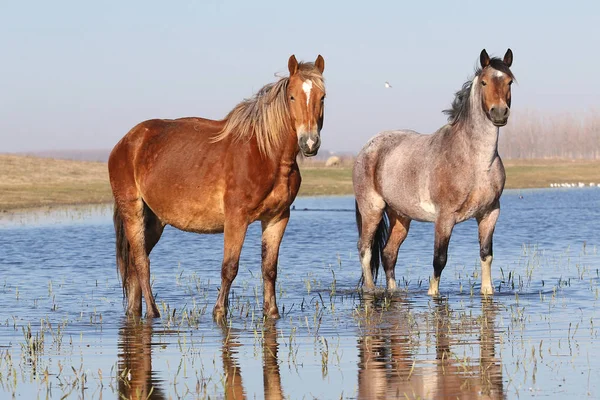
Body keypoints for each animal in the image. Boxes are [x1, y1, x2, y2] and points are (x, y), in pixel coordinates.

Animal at [105, 55, 326, 318]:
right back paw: (153, 312)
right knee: (141, 262)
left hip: (155, 220)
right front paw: (219, 312)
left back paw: (134, 311)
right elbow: (229, 267)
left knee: (134, 265)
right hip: (133, 210)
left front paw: (272, 313)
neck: (265, 154)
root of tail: (127, 141)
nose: (310, 143)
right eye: (292, 96)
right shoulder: (236, 218)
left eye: (322, 97)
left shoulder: (277, 218)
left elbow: (269, 268)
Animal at [354, 48, 512, 296]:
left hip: (401, 216)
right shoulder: (444, 218)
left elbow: (486, 255)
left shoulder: (489, 214)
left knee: (389, 254)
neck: (476, 163)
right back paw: (371, 290)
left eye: (509, 81)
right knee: (366, 250)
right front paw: (432, 293)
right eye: (484, 82)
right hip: (372, 209)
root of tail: (367, 147)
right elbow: (440, 259)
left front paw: (487, 291)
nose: (499, 113)